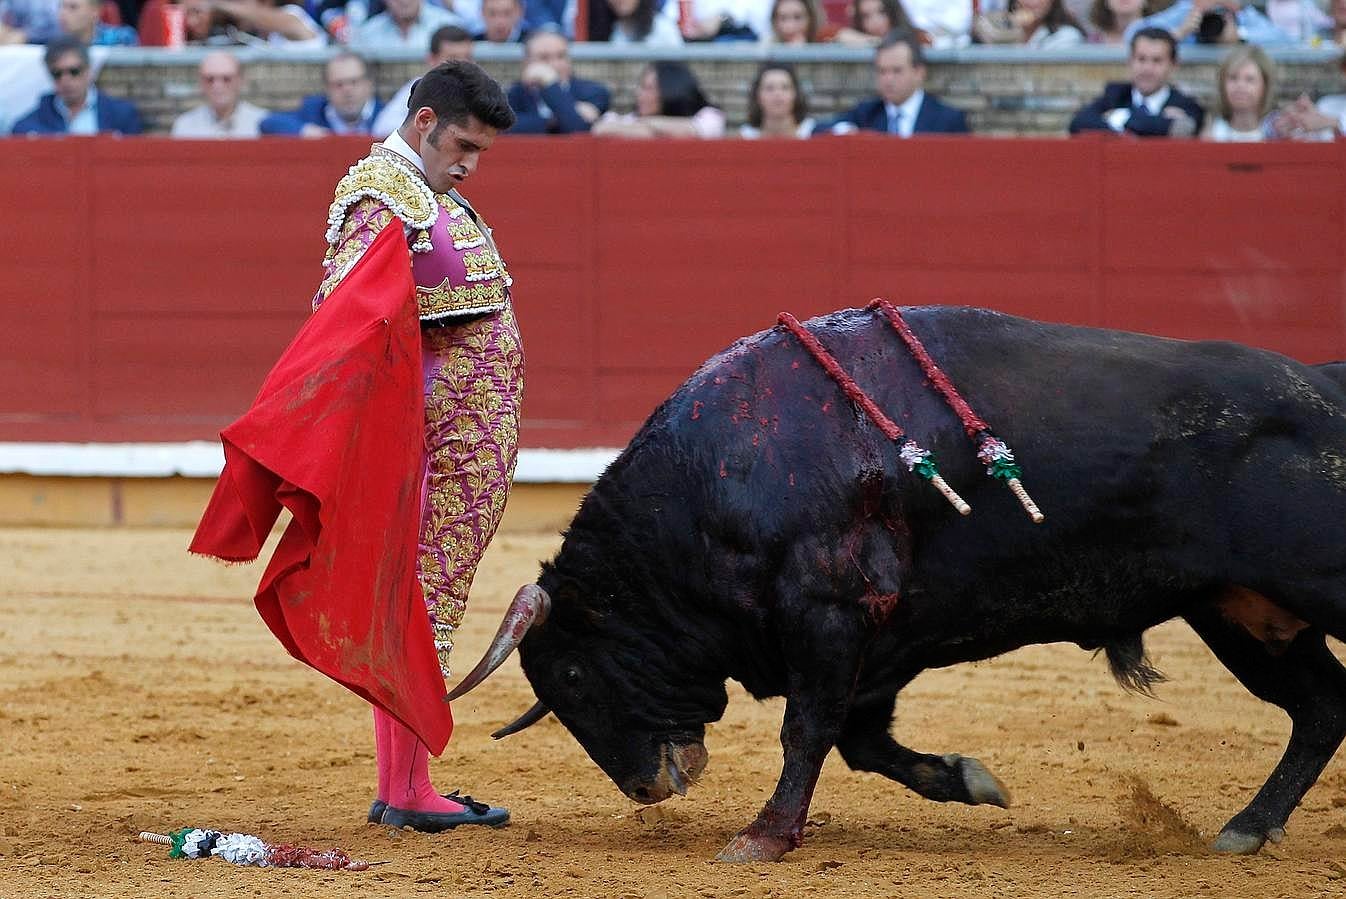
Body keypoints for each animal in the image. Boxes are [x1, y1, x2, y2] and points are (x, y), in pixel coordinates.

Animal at [449, 309, 1346, 861]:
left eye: (571, 673)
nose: (645, 787)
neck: (719, 481)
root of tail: (1325, 387)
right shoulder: (879, 640)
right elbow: (860, 739)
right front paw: (970, 780)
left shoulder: (830, 615)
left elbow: (808, 731)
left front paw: (763, 836)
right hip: (1241, 615)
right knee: (1320, 706)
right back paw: (1246, 827)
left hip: (1303, 586)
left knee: (1321, 703)